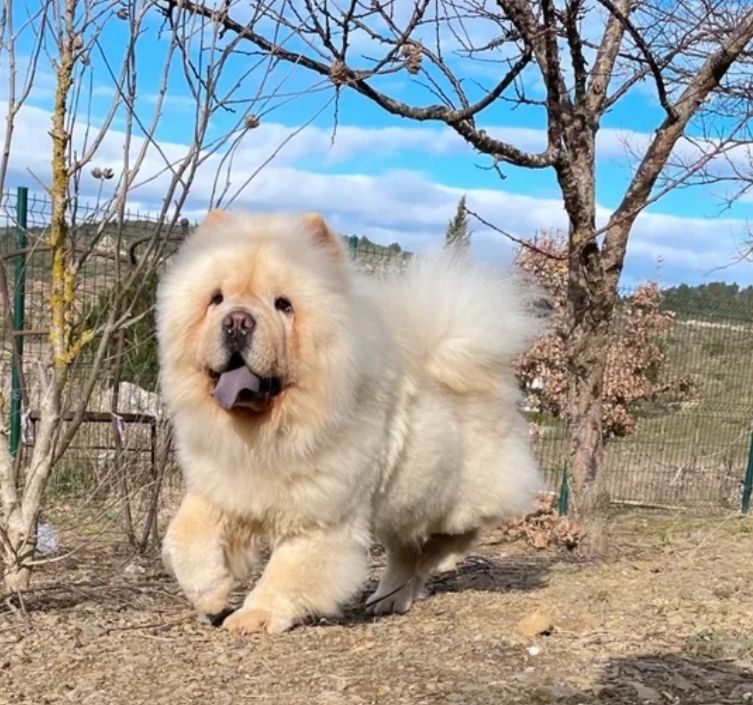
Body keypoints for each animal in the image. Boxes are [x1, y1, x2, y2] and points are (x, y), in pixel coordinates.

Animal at [157, 209, 540, 632]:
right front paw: (210, 594)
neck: (266, 432)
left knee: (449, 537)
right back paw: (389, 599)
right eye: (216, 299)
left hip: (453, 500)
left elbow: (287, 573)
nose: (238, 321)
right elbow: (184, 538)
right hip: (405, 505)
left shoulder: (320, 519)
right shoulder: (221, 488)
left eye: (284, 305)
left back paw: (433, 563)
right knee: (408, 554)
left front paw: (255, 616)